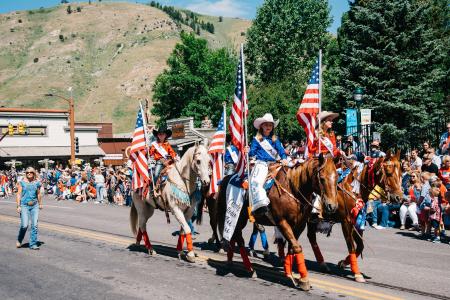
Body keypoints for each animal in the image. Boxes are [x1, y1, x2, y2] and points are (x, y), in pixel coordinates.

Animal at [214, 156, 338, 292]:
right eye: (322, 178)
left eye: (337, 178)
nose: (332, 206)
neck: (292, 189)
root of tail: (227, 178)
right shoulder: (282, 221)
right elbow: (297, 247)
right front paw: (304, 280)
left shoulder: (299, 225)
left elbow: (292, 247)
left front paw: (289, 273)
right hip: (239, 217)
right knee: (239, 238)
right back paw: (249, 269)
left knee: (234, 237)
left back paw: (231, 262)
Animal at [304, 151, 402, 282]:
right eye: (389, 172)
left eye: (400, 173)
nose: (399, 197)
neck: (352, 188)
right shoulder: (346, 222)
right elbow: (351, 246)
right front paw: (357, 273)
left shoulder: (357, 220)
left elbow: (360, 246)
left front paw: (343, 263)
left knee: (311, 237)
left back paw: (322, 264)